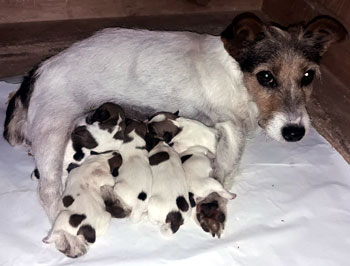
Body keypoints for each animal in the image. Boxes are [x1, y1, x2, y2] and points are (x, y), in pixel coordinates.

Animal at [3, 13, 348, 237]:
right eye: (266, 76)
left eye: (308, 76)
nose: (295, 132)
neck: (238, 77)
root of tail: (35, 74)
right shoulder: (229, 128)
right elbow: (223, 172)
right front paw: (214, 206)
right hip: (53, 129)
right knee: (48, 191)